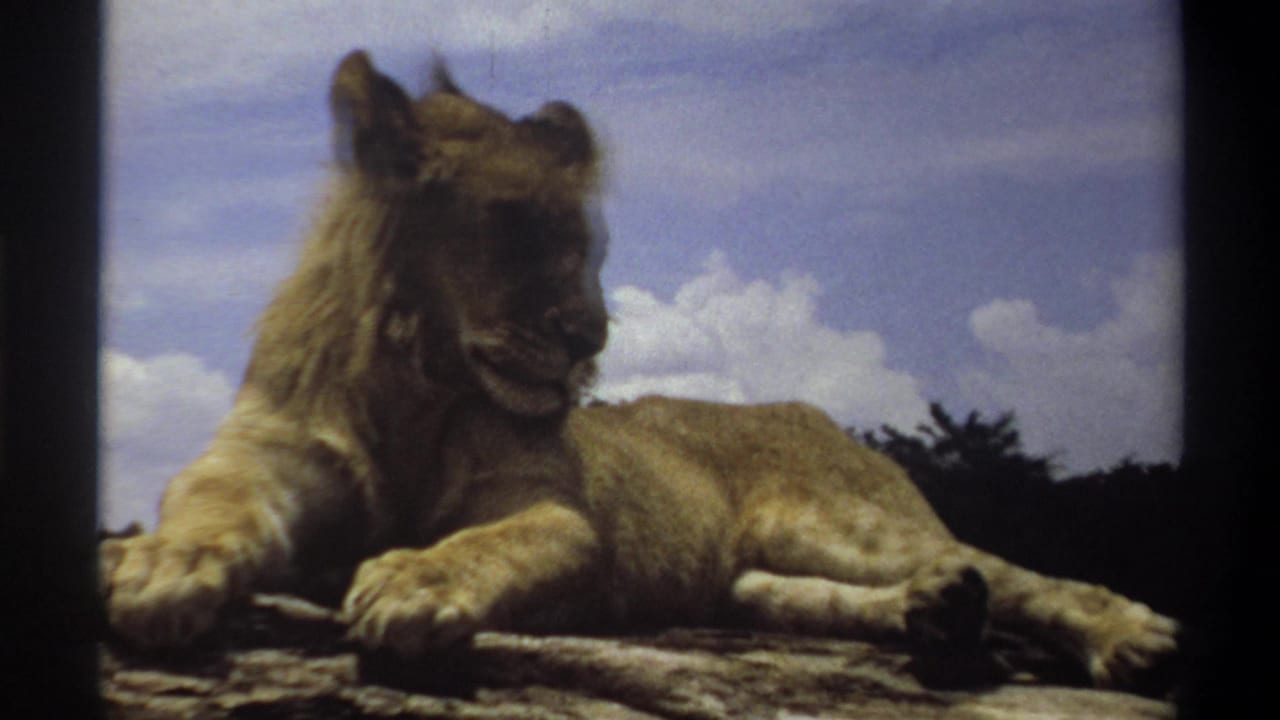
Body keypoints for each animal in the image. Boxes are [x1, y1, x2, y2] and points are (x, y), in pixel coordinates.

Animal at [101, 49, 1177, 691]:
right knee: (806, 595)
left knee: (1021, 573)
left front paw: (411, 581)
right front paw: (154, 565)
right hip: (748, 576)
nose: (591, 336)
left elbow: (482, 544)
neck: (418, 378)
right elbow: (206, 506)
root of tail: (813, 410)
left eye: (590, 244)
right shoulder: (259, 457)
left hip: (841, 521)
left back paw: (1126, 636)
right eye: (512, 224)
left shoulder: (553, 511)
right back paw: (936, 614)